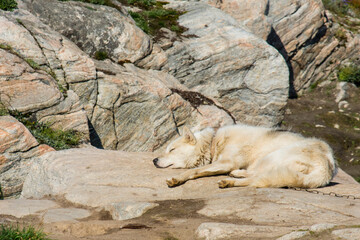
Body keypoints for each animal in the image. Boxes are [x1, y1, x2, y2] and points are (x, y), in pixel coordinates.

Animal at [153, 124, 338, 188]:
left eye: (172, 150)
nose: (154, 160)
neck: (214, 143)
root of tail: (326, 168)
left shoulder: (226, 162)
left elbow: (192, 171)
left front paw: (177, 179)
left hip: (270, 157)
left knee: (258, 178)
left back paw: (230, 180)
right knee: (259, 178)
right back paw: (234, 177)